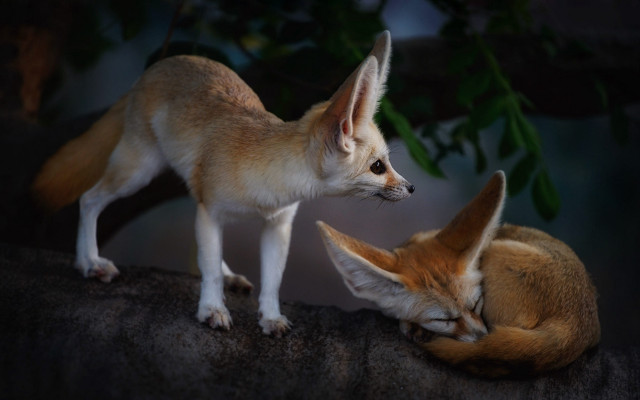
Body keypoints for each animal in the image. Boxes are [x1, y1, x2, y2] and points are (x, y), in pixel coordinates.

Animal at [32, 31, 414, 336]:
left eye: (387, 163)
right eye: (378, 167)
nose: (412, 189)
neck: (272, 179)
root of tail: (159, 66)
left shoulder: (277, 224)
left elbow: (271, 279)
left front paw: (270, 317)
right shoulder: (211, 211)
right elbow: (209, 268)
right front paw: (212, 309)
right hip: (138, 172)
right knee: (88, 198)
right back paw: (88, 261)